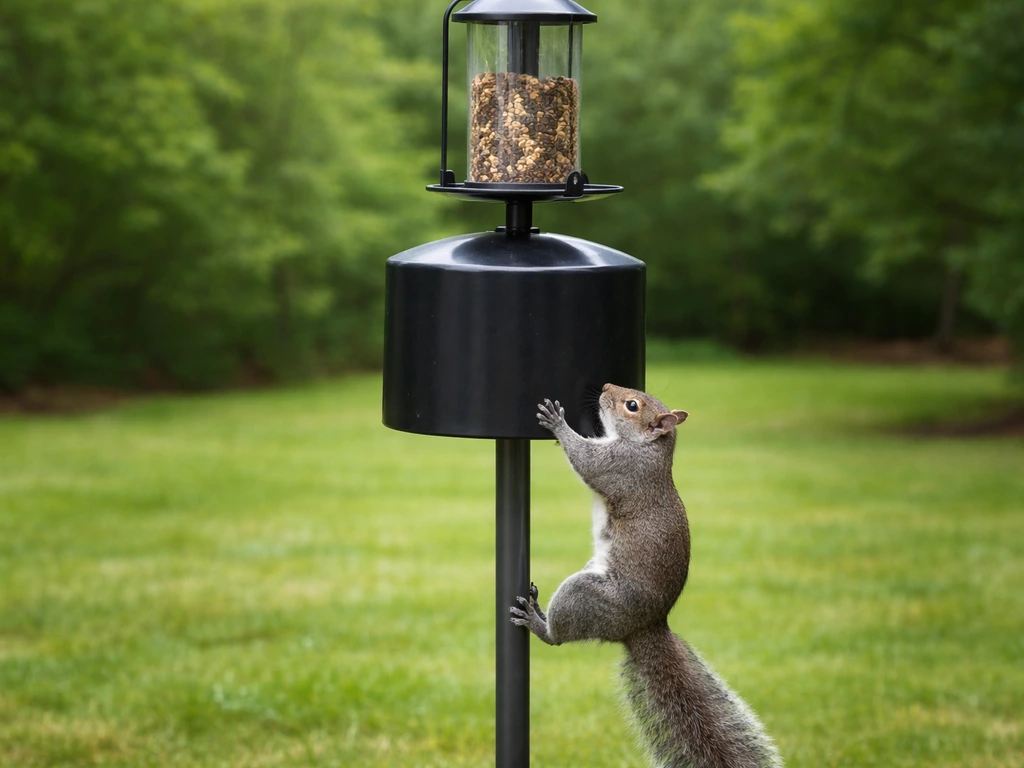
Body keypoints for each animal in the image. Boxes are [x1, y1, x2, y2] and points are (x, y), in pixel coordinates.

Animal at [510, 383, 782, 768]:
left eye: (632, 405)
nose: (606, 387)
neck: (649, 449)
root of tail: (645, 626)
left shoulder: (621, 467)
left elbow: (586, 462)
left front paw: (557, 424)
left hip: (584, 594)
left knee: (557, 638)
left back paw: (537, 621)